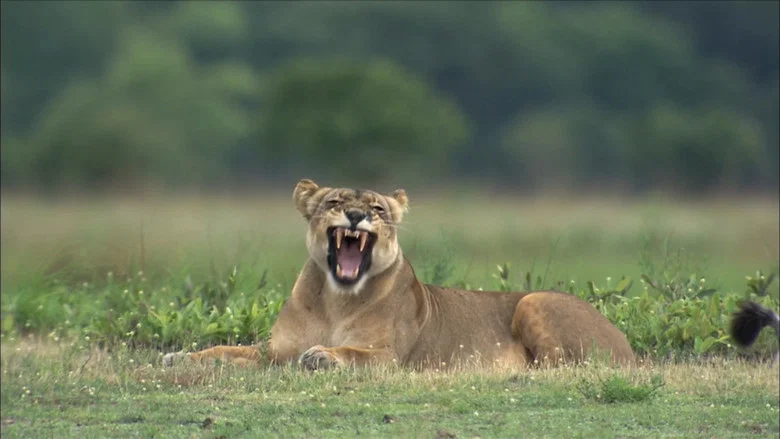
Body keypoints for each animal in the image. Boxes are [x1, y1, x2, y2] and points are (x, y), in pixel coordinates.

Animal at [163, 179, 635, 370]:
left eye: (377, 208)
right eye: (334, 203)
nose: (356, 216)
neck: (335, 300)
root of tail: (628, 345)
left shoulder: (391, 358)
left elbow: (353, 353)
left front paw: (322, 356)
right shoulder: (272, 352)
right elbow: (224, 350)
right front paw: (179, 357)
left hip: (535, 301)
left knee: (560, 365)